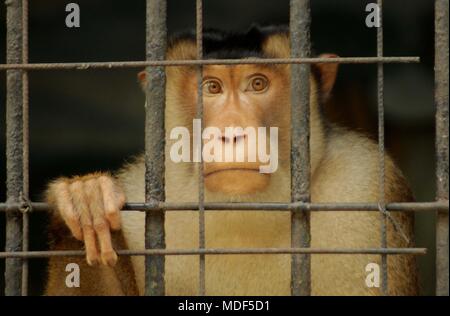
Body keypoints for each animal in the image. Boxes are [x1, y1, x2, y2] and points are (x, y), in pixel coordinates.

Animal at [44, 25, 416, 296]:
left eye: (257, 83)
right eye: (211, 87)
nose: (232, 133)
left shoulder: (367, 187)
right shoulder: (138, 204)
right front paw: (85, 203)